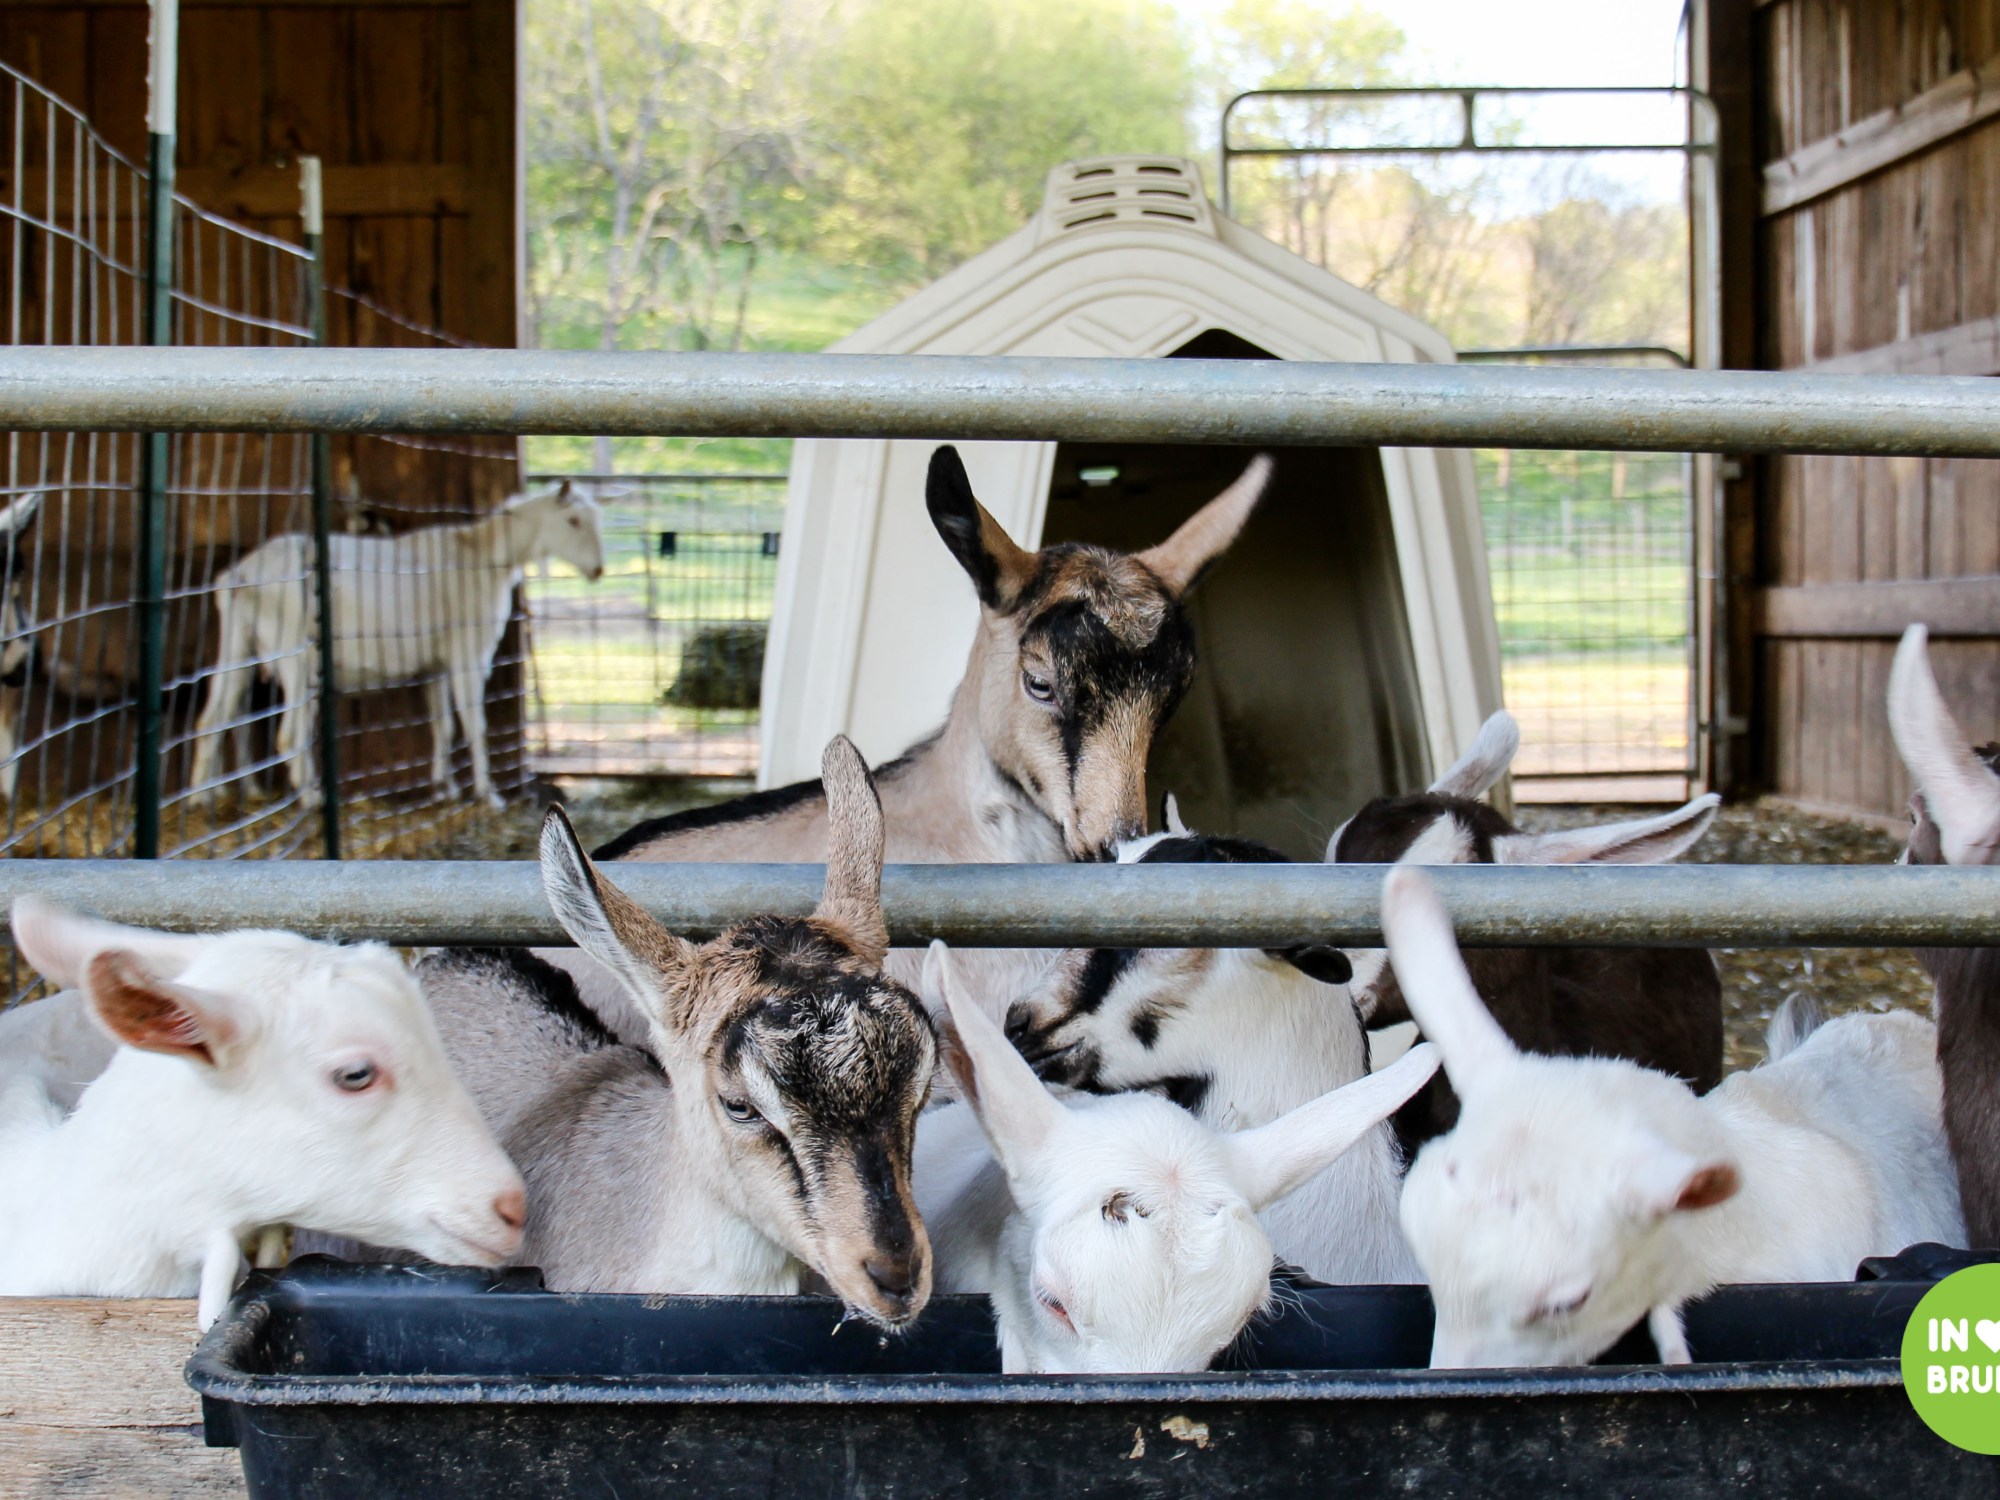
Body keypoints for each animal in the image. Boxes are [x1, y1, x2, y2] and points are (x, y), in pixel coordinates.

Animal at [188, 482, 604, 810]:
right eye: (573, 520)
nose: (598, 570)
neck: (480, 557)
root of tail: (240, 575)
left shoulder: (435, 666)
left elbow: (443, 725)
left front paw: (446, 789)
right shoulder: (468, 656)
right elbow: (474, 723)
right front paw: (489, 796)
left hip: (239, 646)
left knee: (215, 716)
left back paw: (203, 798)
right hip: (297, 658)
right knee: (289, 733)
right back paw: (310, 797)